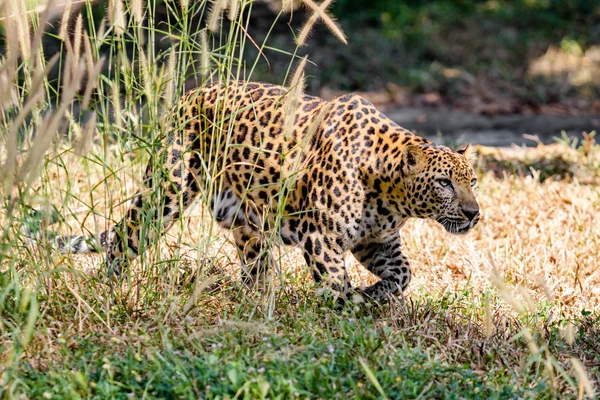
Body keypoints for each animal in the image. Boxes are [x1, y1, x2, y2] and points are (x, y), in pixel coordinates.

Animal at [25, 81, 480, 304]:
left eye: (472, 182)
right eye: (444, 183)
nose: (474, 213)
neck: (390, 194)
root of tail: (191, 94)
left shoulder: (376, 239)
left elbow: (403, 273)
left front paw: (376, 296)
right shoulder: (322, 236)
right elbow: (334, 284)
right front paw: (347, 312)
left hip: (246, 219)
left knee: (253, 266)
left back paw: (259, 303)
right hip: (168, 190)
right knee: (125, 237)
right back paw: (110, 288)